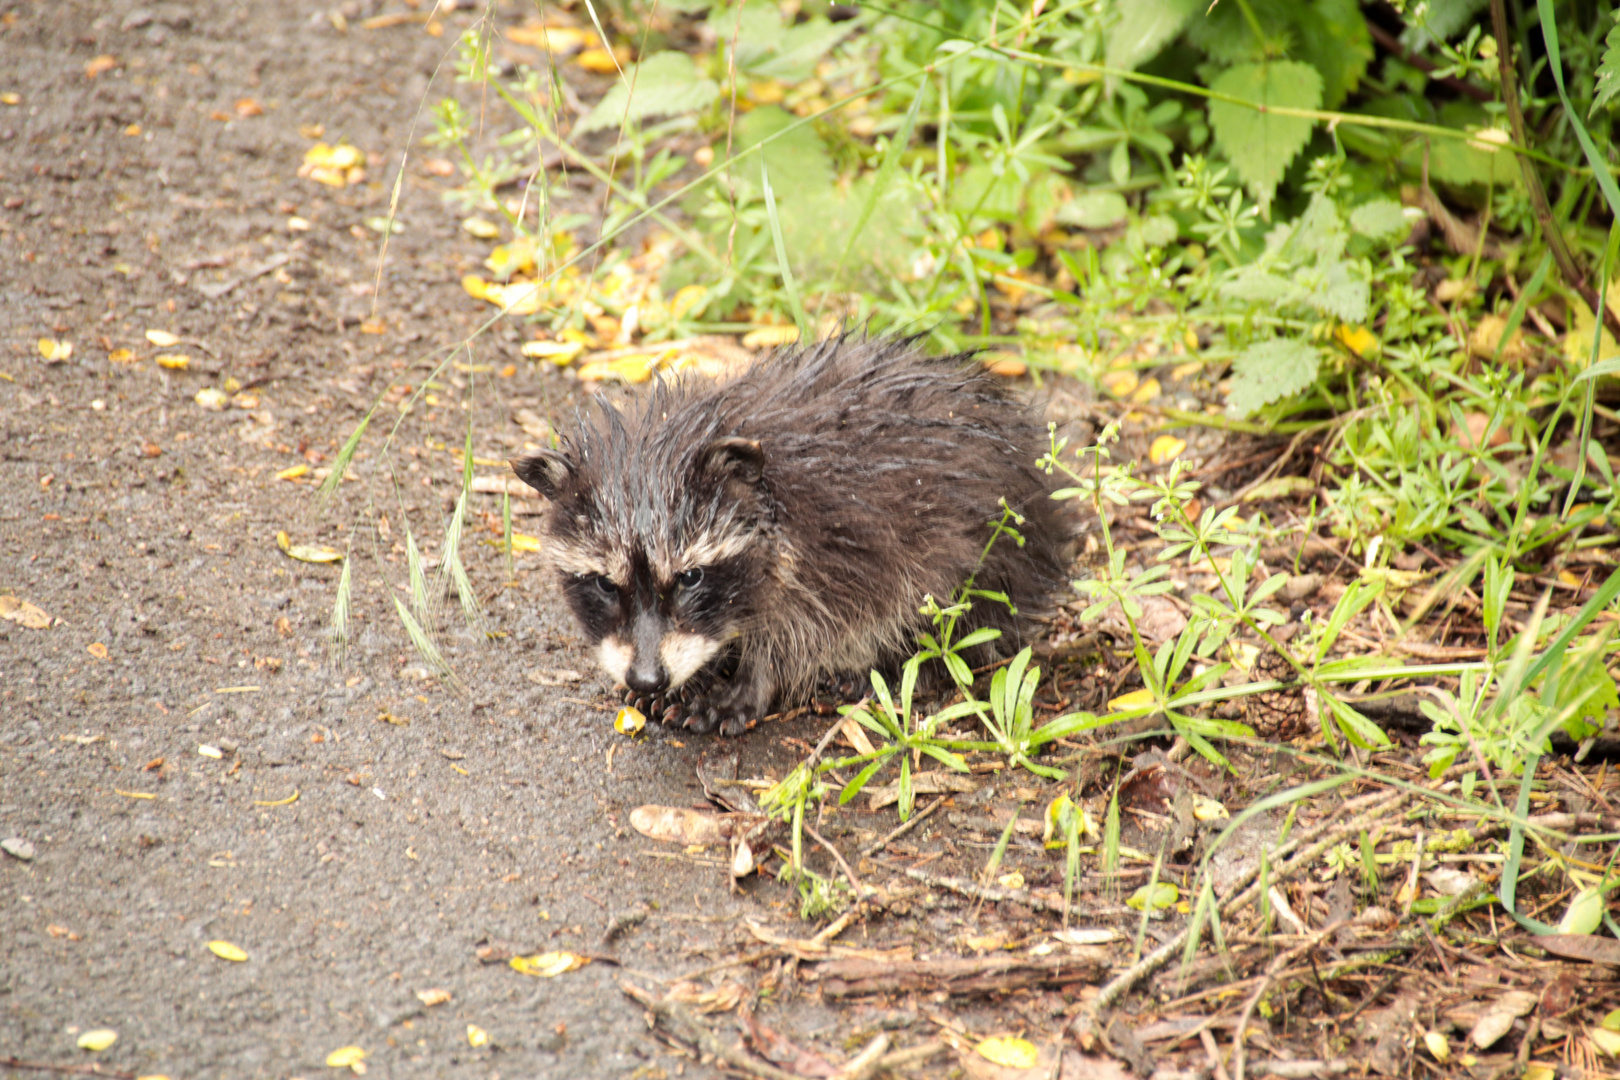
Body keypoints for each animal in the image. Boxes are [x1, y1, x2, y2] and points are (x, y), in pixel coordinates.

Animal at [518, 338, 1069, 738]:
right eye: (605, 584)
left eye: (690, 577)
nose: (648, 677)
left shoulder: (837, 543)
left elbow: (802, 631)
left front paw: (750, 682)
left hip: (990, 548)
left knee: (959, 620)